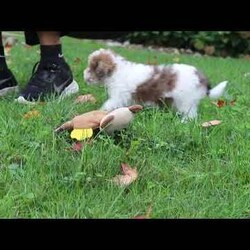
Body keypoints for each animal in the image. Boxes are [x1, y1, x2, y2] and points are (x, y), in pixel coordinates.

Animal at [83, 48, 227, 121]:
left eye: (92, 67)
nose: (85, 76)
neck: (116, 71)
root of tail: (201, 78)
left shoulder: (118, 97)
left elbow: (109, 105)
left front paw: (101, 112)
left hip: (186, 101)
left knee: (190, 115)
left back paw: (184, 122)